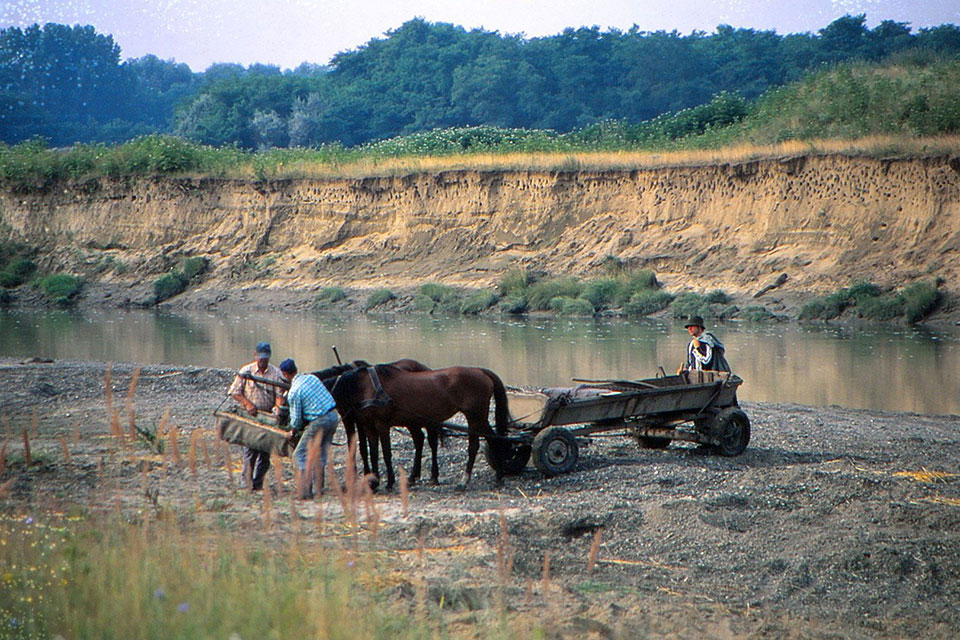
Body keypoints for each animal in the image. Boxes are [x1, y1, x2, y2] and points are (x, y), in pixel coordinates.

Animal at [328, 364, 512, 490]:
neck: (366, 386)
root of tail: (481, 371)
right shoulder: (369, 426)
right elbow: (373, 453)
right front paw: (373, 481)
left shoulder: (381, 424)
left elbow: (386, 453)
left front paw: (389, 481)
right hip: (478, 418)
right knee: (493, 439)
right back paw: (498, 476)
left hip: (475, 417)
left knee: (476, 445)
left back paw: (466, 480)